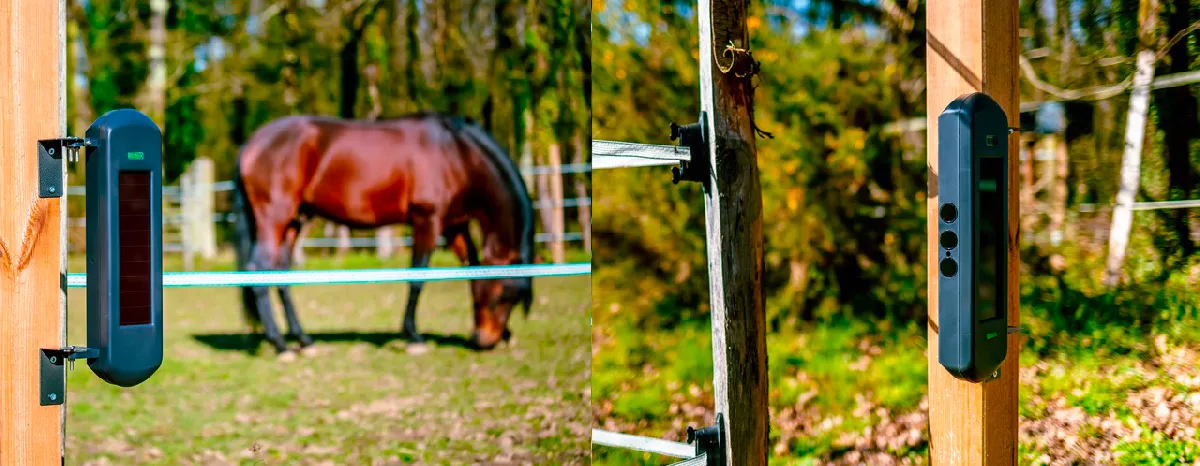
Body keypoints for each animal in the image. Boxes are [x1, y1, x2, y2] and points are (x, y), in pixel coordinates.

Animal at [232, 113, 535, 356]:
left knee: (280, 273)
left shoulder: (454, 226)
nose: (484, 340)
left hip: (294, 221)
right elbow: (417, 278)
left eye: (513, 298)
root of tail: (252, 143)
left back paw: (303, 340)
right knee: (259, 269)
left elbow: (472, 272)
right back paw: (280, 344)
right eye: (505, 295)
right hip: (274, 218)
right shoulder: (427, 220)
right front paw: (413, 336)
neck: (457, 154)